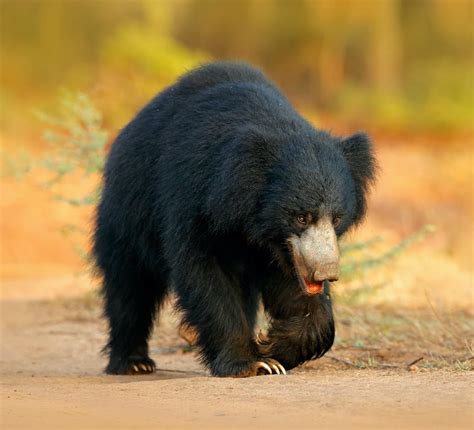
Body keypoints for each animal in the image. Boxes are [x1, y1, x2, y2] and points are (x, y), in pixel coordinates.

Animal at [94, 61, 378, 376]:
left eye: (337, 218)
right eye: (302, 217)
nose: (325, 272)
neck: (248, 219)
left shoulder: (283, 248)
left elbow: (293, 285)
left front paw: (273, 345)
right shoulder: (194, 200)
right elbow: (205, 274)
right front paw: (251, 362)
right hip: (126, 216)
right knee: (129, 288)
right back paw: (133, 362)